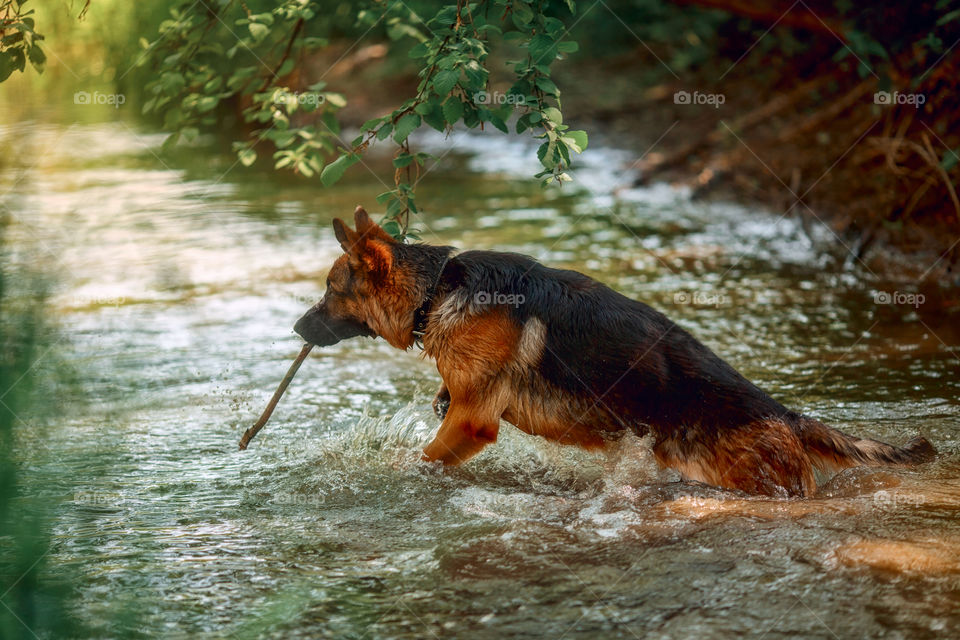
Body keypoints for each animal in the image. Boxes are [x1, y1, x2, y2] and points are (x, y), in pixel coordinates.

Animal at [294, 208, 936, 498]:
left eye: (330, 289)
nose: (297, 327)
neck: (438, 288)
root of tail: (784, 414)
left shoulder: (473, 420)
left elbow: (420, 459)